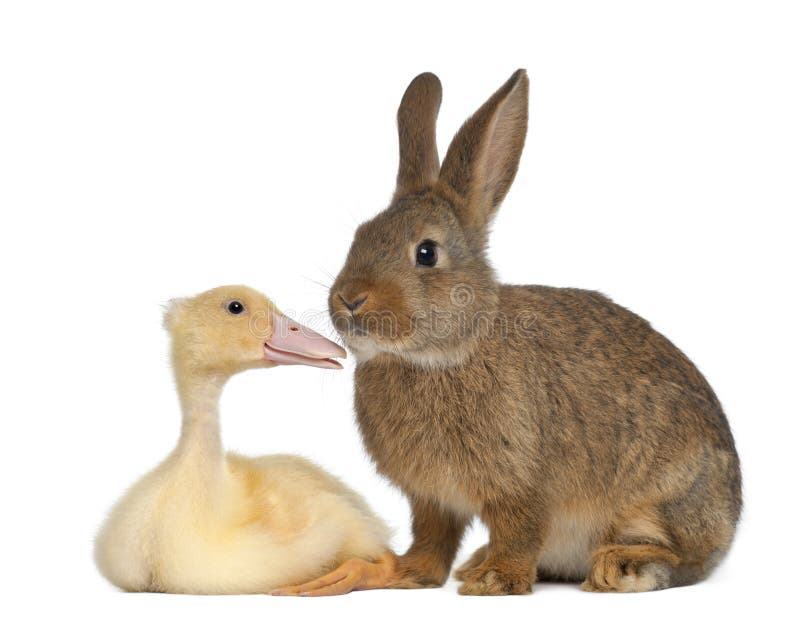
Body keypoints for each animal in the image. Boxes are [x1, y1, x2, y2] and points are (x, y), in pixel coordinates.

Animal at [290, 69, 744, 596]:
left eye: (426, 252)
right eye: (360, 235)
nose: (350, 299)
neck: (445, 352)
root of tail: (731, 518)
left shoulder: (521, 482)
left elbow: (519, 528)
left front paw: (496, 580)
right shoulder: (432, 499)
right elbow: (431, 546)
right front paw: (393, 573)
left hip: (664, 499)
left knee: (683, 558)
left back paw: (621, 566)